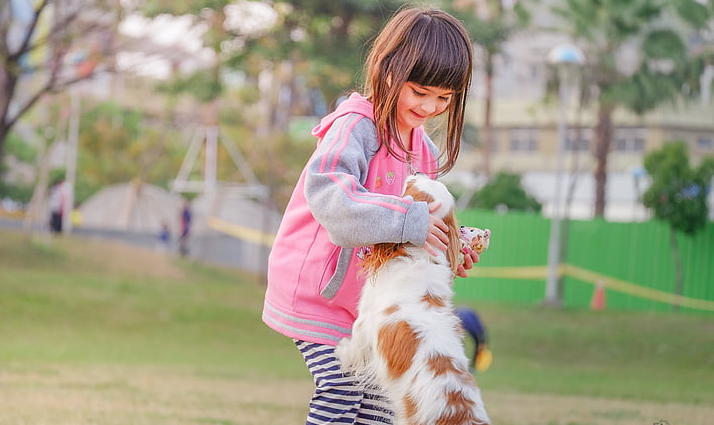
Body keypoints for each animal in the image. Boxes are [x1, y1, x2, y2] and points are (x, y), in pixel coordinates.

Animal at [336, 173, 490, 424]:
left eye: (411, 185)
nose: (417, 172)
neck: (421, 256)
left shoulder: (365, 320)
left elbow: (355, 346)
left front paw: (342, 350)